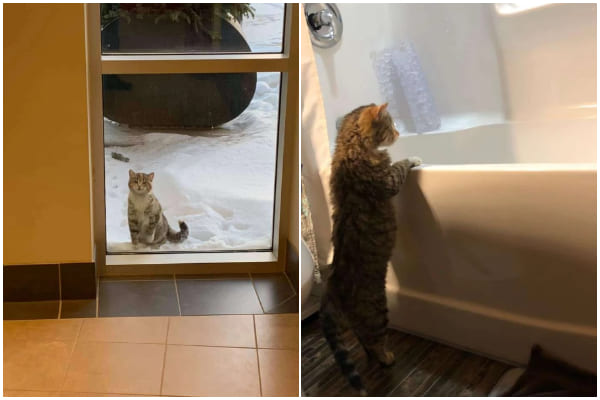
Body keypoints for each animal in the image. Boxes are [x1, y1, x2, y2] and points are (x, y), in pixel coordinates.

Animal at [318, 102, 422, 394]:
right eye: (390, 125)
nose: (399, 132)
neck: (348, 146)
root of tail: (330, 291)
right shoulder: (388, 181)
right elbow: (400, 165)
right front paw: (413, 157)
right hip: (376, 311)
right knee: (373, 340)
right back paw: (386, 357)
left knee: (363, 339)